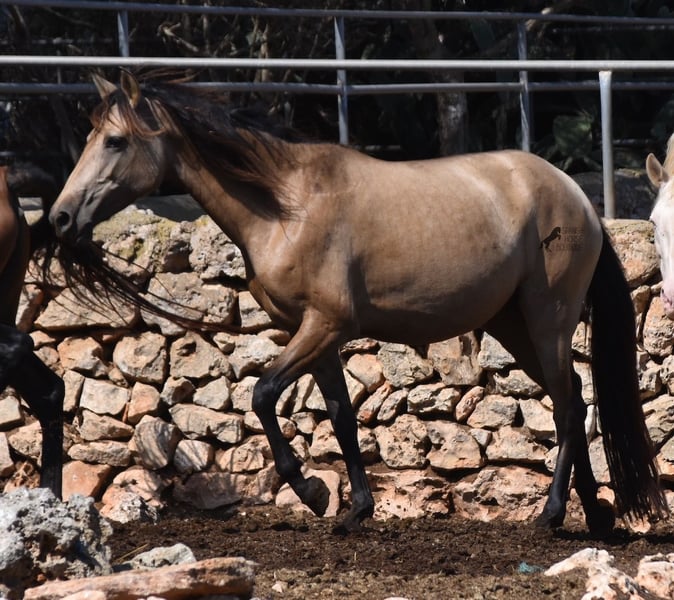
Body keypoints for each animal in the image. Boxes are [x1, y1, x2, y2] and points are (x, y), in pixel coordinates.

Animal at [49, 72, 668, 534]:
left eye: (116, 141)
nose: (60, 217)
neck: (287, 206)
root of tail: (577, 197)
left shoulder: (324, 325)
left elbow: (262, 393)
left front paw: (312, 491)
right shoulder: (315, 336)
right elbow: (342, 418)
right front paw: (355, 510)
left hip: (547, 319)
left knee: (566, 406)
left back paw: (552, 514)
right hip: (513, 325)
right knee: (576, 399)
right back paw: (595, 515)